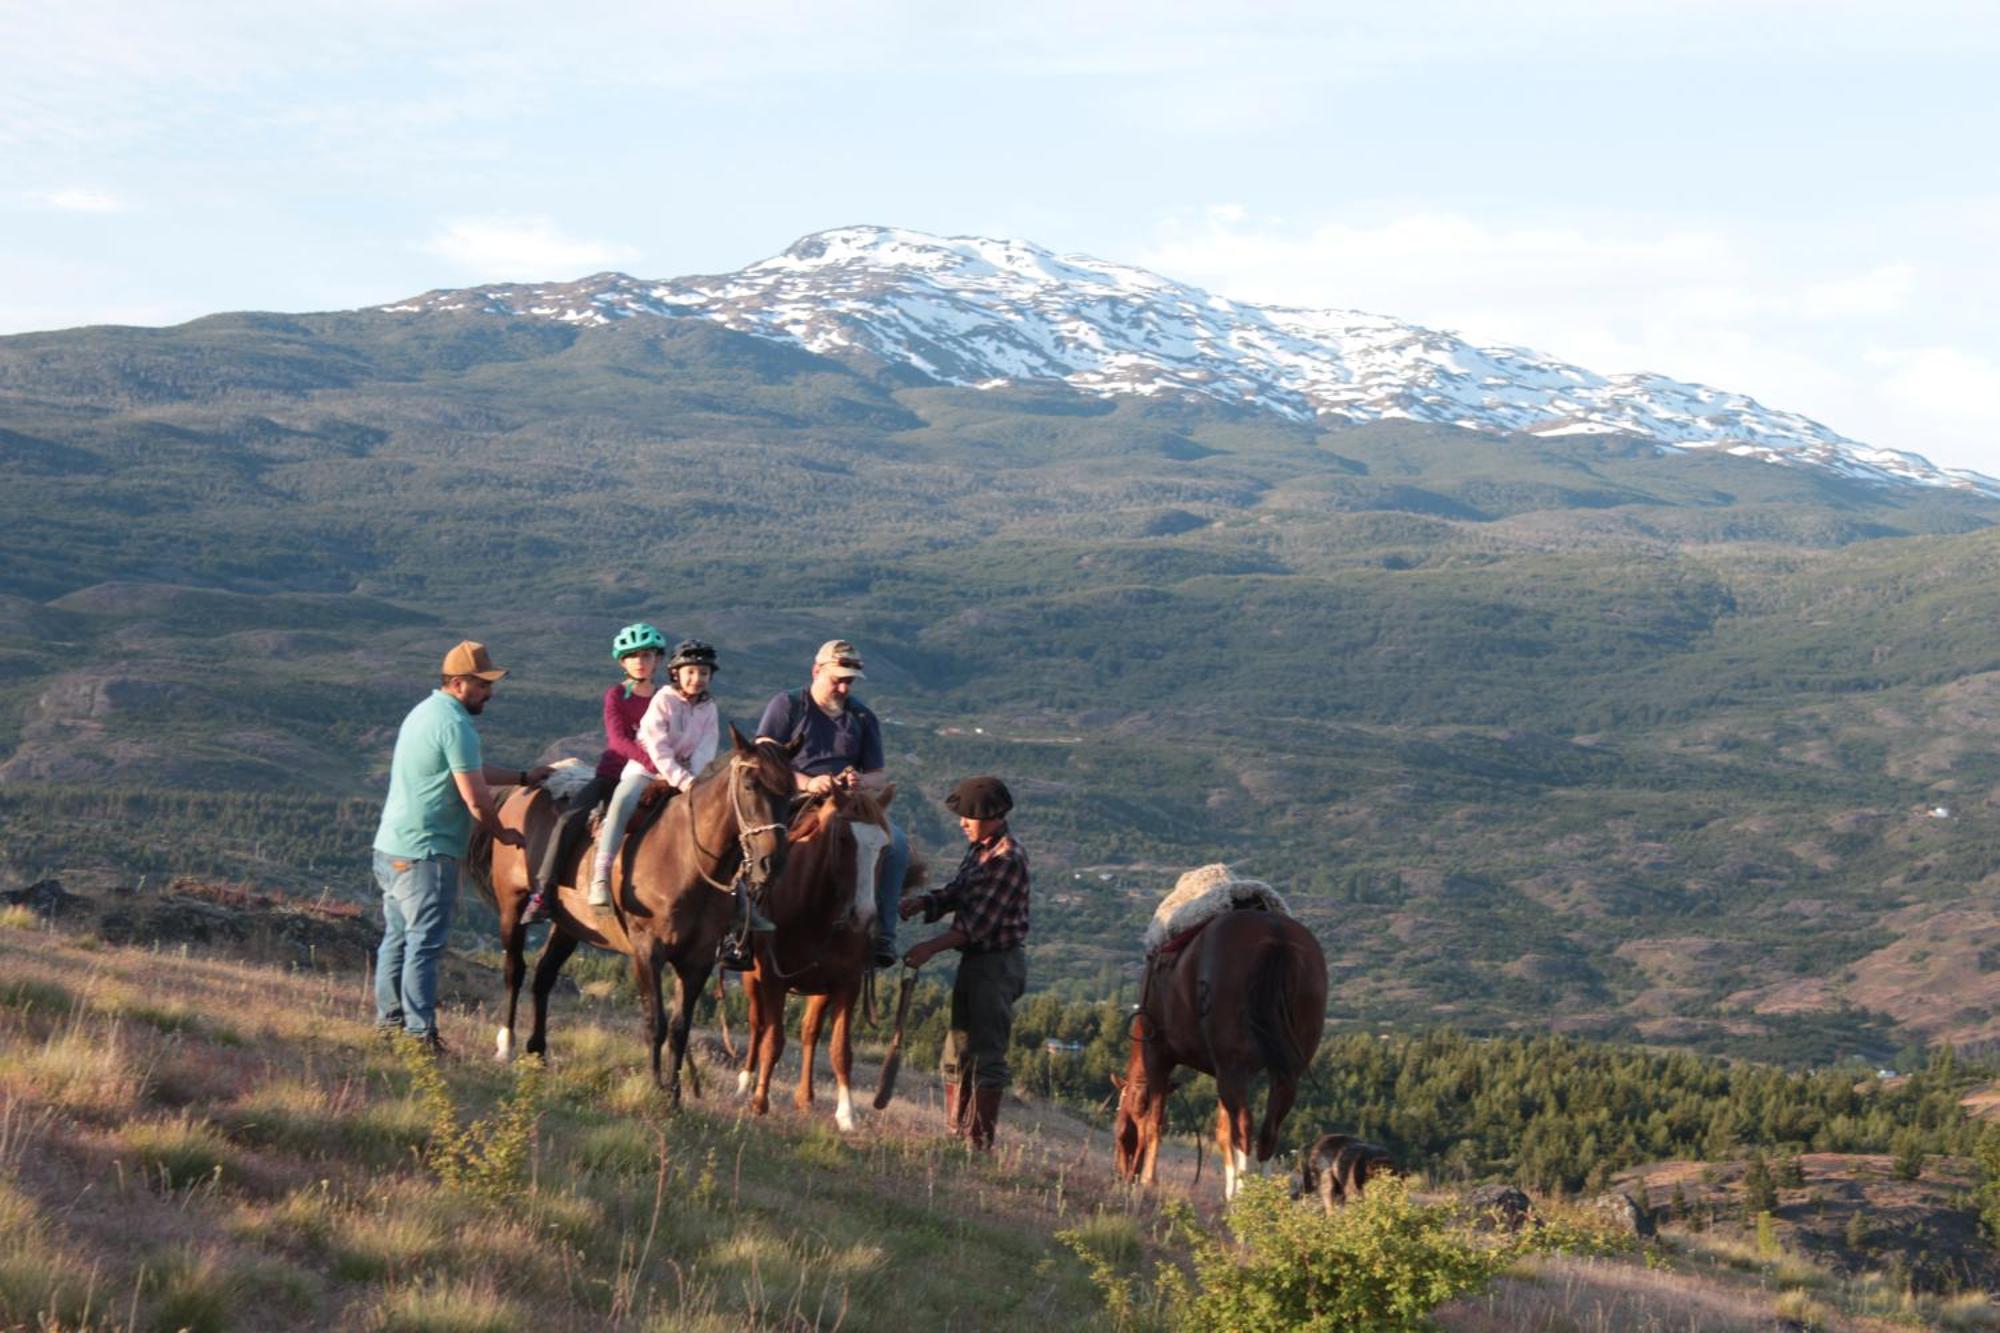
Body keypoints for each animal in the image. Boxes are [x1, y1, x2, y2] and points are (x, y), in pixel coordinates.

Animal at [470, 728, 796, 1096]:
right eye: (750, 785)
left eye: (792, 792)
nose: (772, 862)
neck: (685, 857)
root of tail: (525, 789)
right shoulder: (647, 950)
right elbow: (656, 1021)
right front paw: (655, 1087)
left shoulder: (697, 960)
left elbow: (680, 1028)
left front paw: (675, 1094)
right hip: (513, 907)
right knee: (515, 970)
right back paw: (506, 1045)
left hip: (569, 926)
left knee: (544, 975)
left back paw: (537, 1052)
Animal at [736, 784, 920, 1128]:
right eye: (844, 838)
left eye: (884, 848)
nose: (864, 916)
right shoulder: (772, 979)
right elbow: (773, 1039)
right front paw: (759, 1100)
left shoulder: (846, 984)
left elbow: (839, 1049)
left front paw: (847, 1114)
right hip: (751, 977)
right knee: (757, 1024)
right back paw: (744, 1084)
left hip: (819, 988)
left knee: (809, 1031)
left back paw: (805, 1097)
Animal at [1112, 908, 1328, 1200]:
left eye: (1121, 1134)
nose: (1120, 1177)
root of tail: (1275, 936)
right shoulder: (1223, 1074)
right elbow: (1224, 1132)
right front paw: (1228, 1190)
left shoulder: (1158, 1057)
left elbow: (1153, 1122)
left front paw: (1148, 1180)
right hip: (1280, 1073)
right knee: (1268, 1131)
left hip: (1232, 1067)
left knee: (1245, 1127)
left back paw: (1245, 1195)